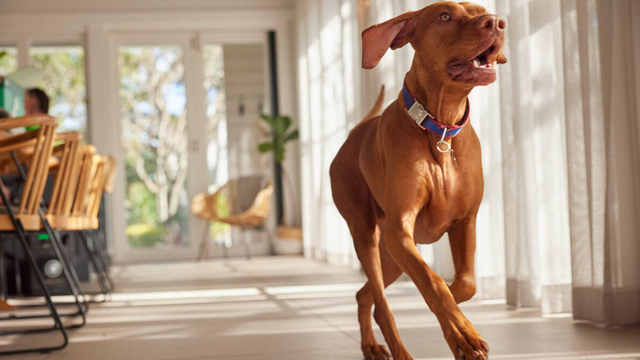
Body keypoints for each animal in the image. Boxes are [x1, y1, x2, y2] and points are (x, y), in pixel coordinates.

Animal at [330, 2, 504, 360]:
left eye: (482, 9)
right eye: (444, 16)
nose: (496, 23)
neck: (440, 129)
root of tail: (355, 132)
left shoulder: (465, 222)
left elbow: (464, 284)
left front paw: (455, 311)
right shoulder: (400, 229)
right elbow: (433, 282)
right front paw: (463, 335)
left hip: (391, 255)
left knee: (365, 295)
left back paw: (370, 344)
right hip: (367, 235)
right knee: (381, 305)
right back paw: (395, 348)